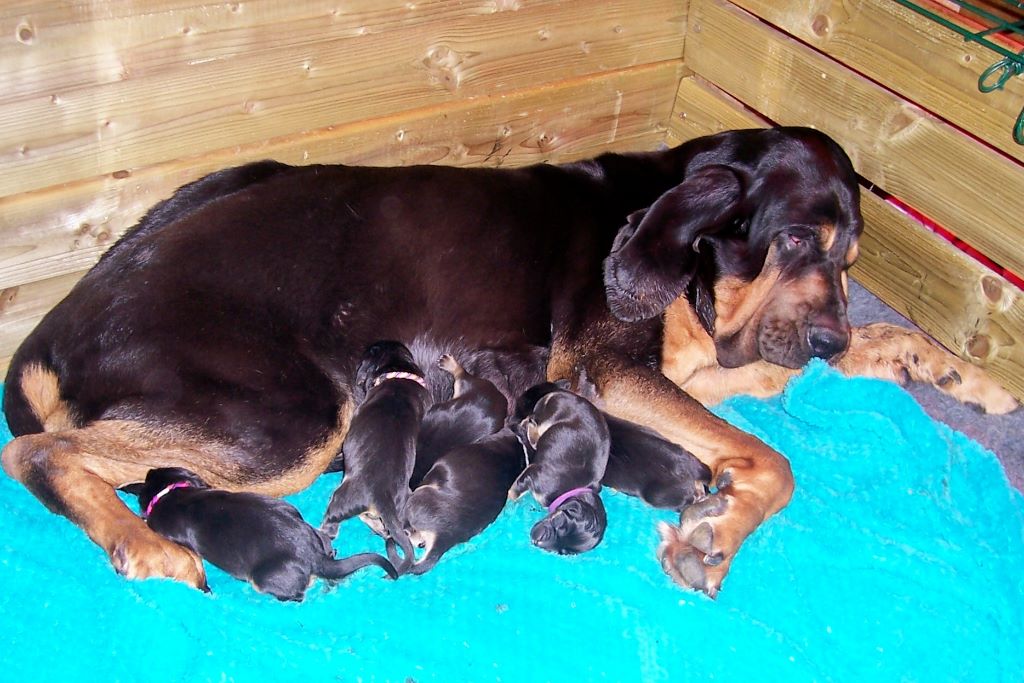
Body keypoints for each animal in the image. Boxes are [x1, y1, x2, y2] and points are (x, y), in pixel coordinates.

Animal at [132, 466, 395, 602]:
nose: (150, 470)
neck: (173, 492)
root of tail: (313, 556)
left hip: (263, 578)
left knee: (297, 595)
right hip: (304, 522)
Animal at [509, 385, 606, 557]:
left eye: (562, 552)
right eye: (560, 524)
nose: (536, 541)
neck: (576, 489)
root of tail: (559, 393)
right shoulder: (533, 474)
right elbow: (514, 493)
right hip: (549, 415)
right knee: (531, 420)